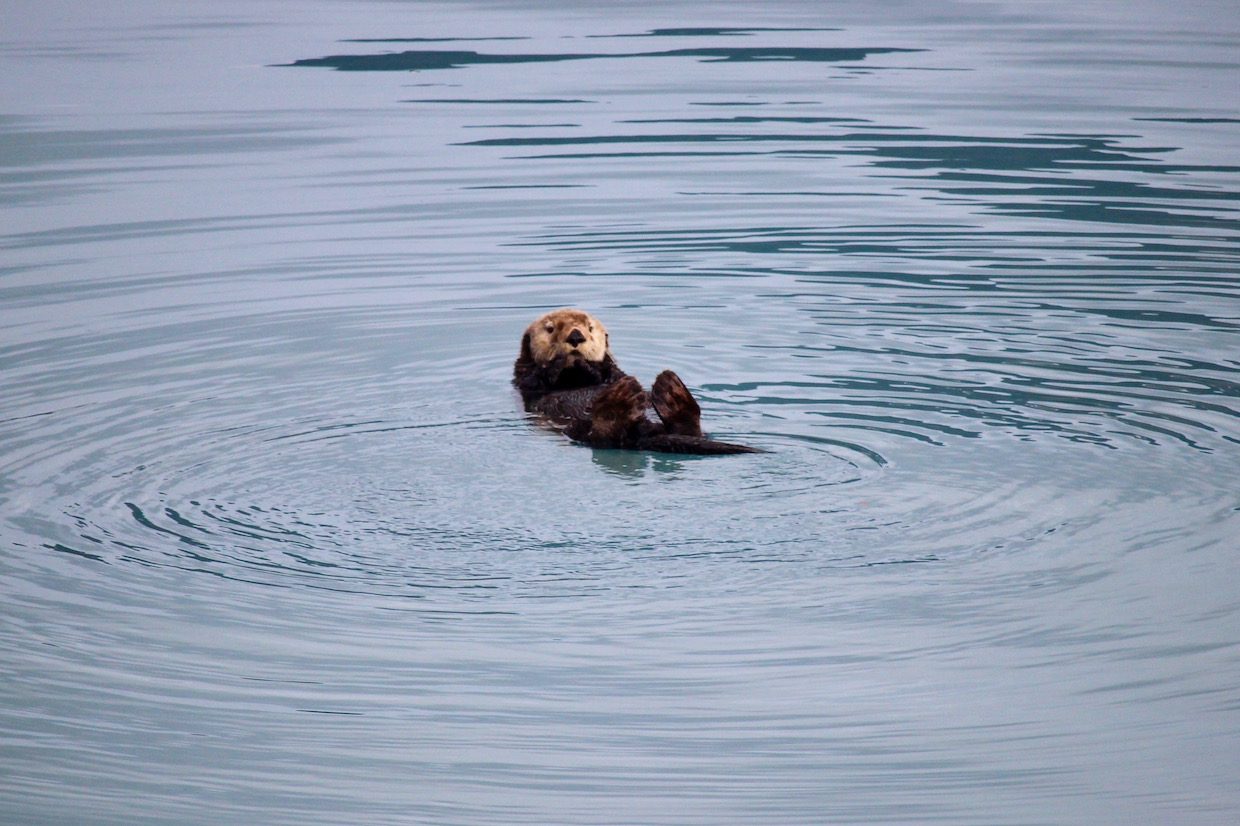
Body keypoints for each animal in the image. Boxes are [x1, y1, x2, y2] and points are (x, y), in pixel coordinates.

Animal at [510, 307, 758, 453]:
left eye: (589, 328)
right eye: (550, 329)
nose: (576, 336)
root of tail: (642, 434)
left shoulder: (614, 372)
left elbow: (610, 372)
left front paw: (589, 366)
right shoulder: (524, 378)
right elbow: (536, 379)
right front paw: (561, 362)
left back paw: (671, 391)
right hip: (578, 429)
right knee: (604, 437)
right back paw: (620, 404)